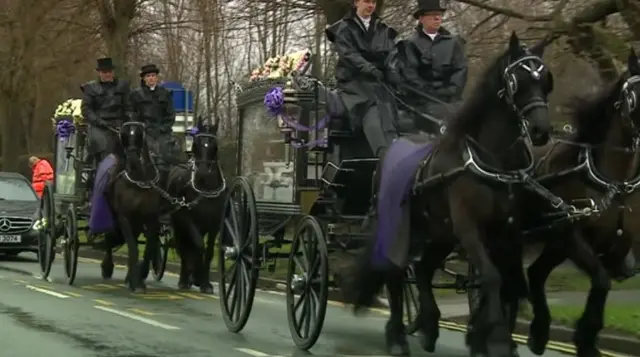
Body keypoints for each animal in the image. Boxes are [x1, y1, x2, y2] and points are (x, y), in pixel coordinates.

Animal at [162, 119, 225, 292]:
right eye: (196, 144)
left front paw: (205, 283)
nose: (202, 172)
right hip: (178, 223)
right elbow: (198, 245)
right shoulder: (186, 218)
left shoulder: (214, 224)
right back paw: (185, 278)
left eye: (215, 146)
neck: (205, 189)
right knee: (184, 246)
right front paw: (194, 275)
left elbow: (208, 251)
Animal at [344, 32, 556, 354]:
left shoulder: (508, 231)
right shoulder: (468, 227)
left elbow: (510, 282)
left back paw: (428, 325)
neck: (494, 160)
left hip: (438, 234)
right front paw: (496, 338)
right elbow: (492, 277)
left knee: (420, 271)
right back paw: (397, 336)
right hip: (400, 227)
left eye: (545, 80)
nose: (541, 130)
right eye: (516, 81)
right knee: (395, 274)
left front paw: (485, 335)